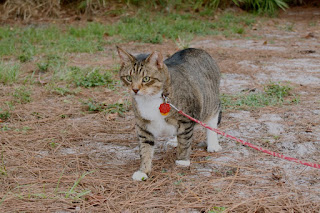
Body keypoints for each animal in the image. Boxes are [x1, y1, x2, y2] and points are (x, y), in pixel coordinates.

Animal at [116, 45, 221, 181]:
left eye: (146, 79)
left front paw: (182, 160)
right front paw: (143, 171)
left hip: (210, 101)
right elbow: (145, 149)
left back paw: (213, 144)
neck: (150, 99)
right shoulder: (143, 125)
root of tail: (195, 48)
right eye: (128, 78)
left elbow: (185, 141)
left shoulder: (186, 119)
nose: (135, 89)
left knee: (212, 118)